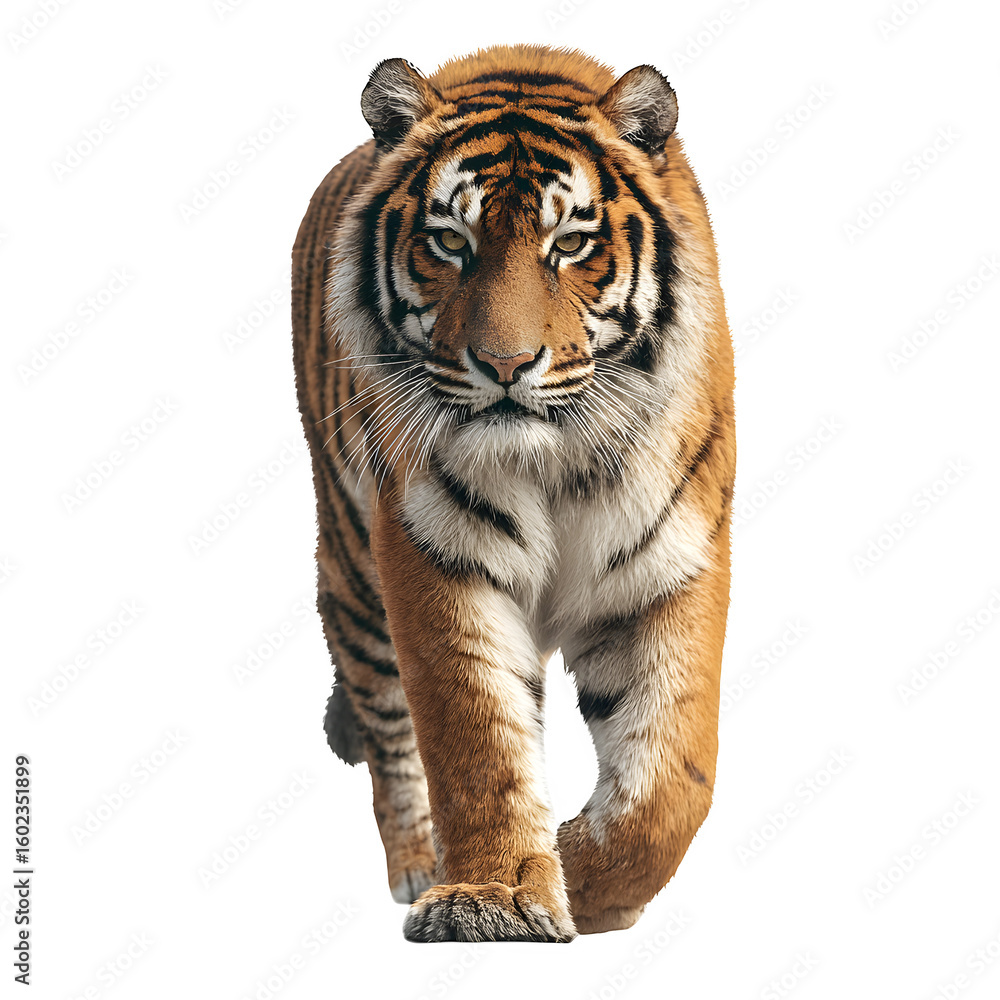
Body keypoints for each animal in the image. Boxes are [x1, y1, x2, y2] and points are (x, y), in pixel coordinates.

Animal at [291, 44, 735, 943]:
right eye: (448, 240)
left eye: (571, 242)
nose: (504, 364)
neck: (554, 464)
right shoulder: (437, 562)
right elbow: (477, 745)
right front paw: (491, 899)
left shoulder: (671, 571)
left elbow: (672, 778)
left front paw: (588, 883)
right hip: (352, 572)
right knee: (390, 733)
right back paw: (419, 865)